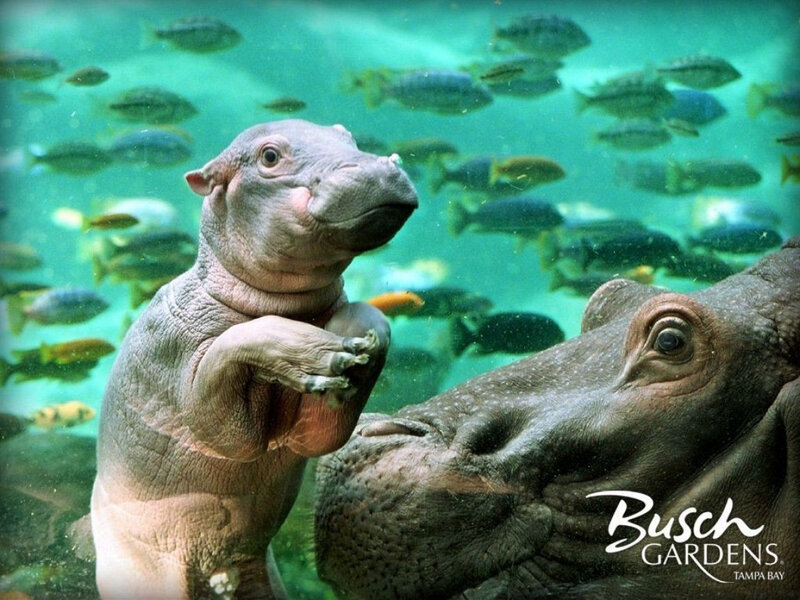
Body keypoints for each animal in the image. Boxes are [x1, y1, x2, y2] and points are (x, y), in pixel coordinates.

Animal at [90, 120, 417, 599]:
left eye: (347, 135)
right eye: (269, 156)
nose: (379, 167)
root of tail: (214, 569)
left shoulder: (310, 435)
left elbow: (367, 323)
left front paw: (352, 352)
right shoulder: (185, 374)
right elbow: (232, 354)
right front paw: (319, 355)